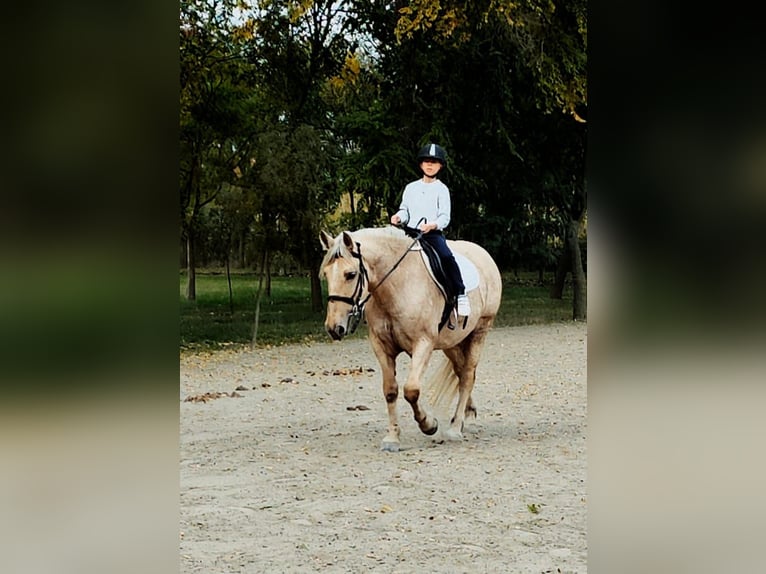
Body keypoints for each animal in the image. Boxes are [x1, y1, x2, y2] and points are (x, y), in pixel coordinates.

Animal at [319, 226, 502, 452]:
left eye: (350, 274)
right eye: (326, 274)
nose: (333, 328)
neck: (398, 284)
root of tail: (482, 254)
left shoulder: (423, 344)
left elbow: (411, 390)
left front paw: (429, 424)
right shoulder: (381, 347)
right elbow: (390, 390)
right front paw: (392, 438)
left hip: (480, 330)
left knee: (467, 376)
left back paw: (454, 429)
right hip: (451, 342)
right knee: (461, 372)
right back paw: (465, 414)